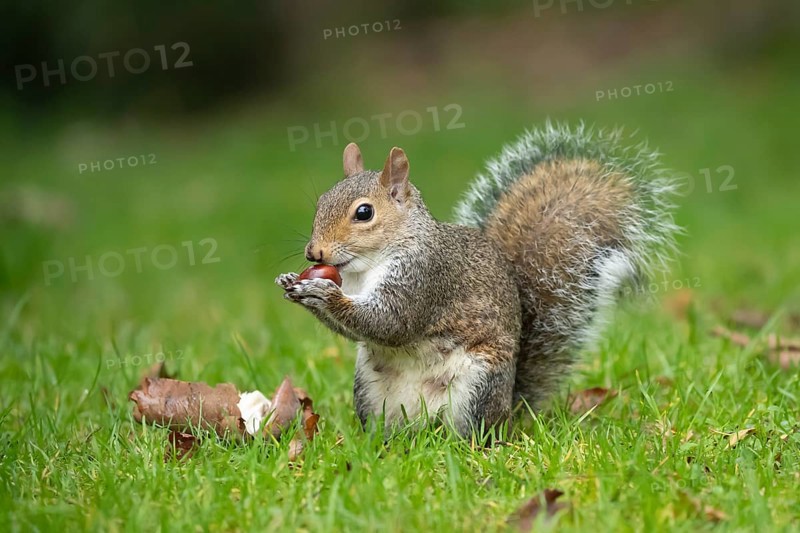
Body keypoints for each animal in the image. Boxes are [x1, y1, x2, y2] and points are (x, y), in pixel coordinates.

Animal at [276, 123, 678, 437]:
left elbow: (391, 322)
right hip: (368, 389)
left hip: (477, 387)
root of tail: (509, 411)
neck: (364, 268)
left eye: (364, 213)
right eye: (321, 201)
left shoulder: (425, 276)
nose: (314, 254)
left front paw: (322, 294)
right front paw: (291, 283)